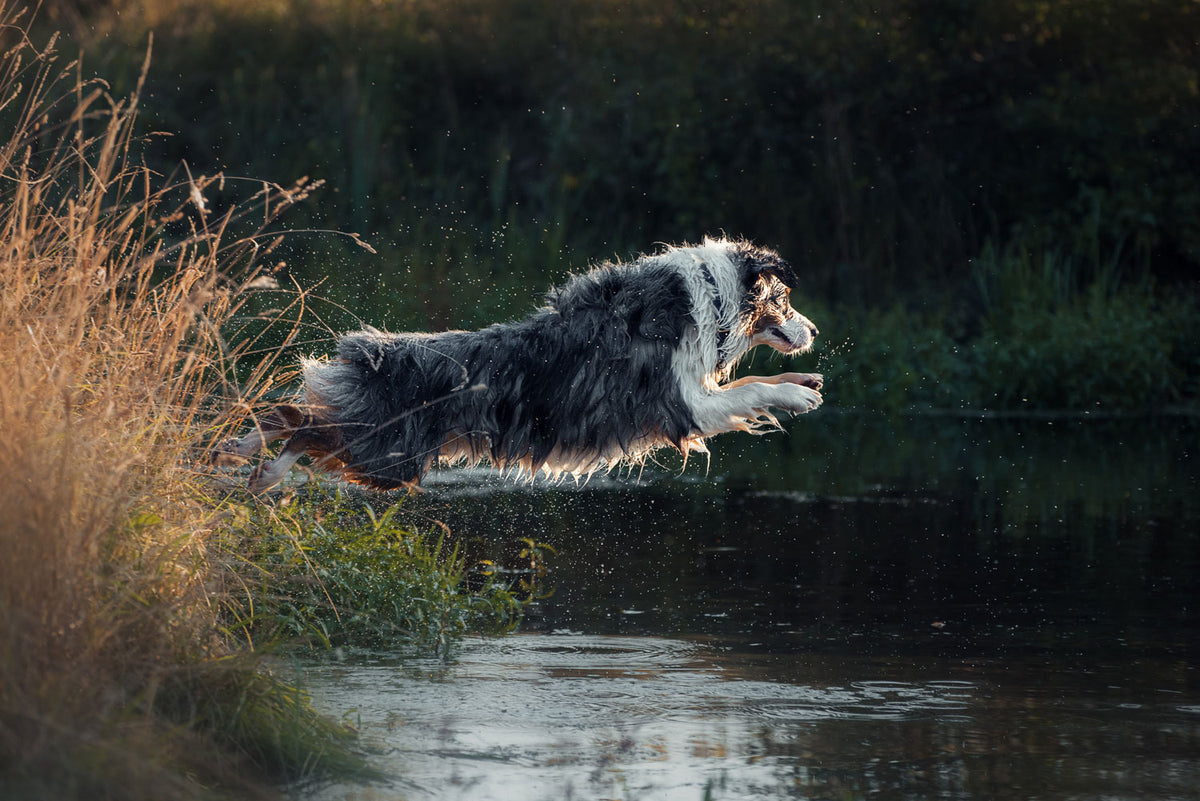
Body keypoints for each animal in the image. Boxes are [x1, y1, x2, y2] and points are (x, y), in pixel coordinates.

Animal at [218, 235, 825, 491]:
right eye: (785, 299)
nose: (816, 331)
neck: (709, 295)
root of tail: (374, 349)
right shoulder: (679, 402)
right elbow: (750, 388)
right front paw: (797, 394)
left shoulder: (692, 395)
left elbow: (756, 377)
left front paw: (805, 380)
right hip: (388, 455)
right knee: (299, 424)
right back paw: (257, 463)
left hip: (382, 450)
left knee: (291, 417)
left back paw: (243, 454)